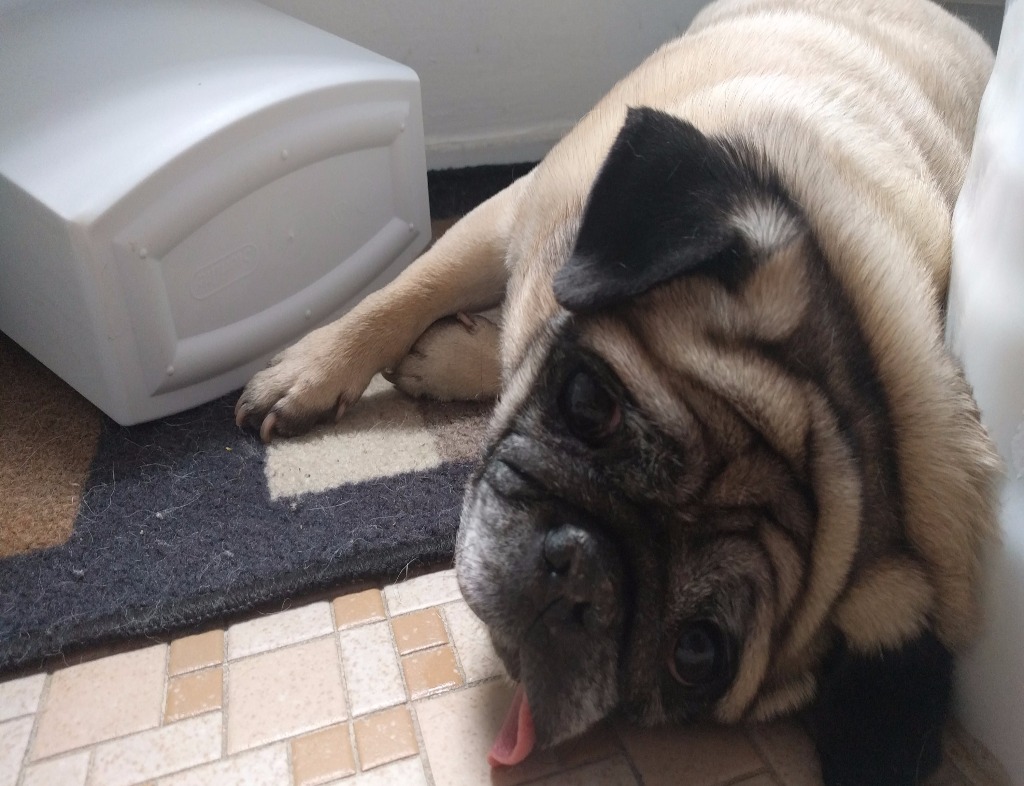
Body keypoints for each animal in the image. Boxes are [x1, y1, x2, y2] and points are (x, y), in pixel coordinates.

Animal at [234, 3, 999, 781]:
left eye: (697, 652)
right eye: (587, 403)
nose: (581, 572)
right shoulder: (522, 207)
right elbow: (407, 291)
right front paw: (314, 369)